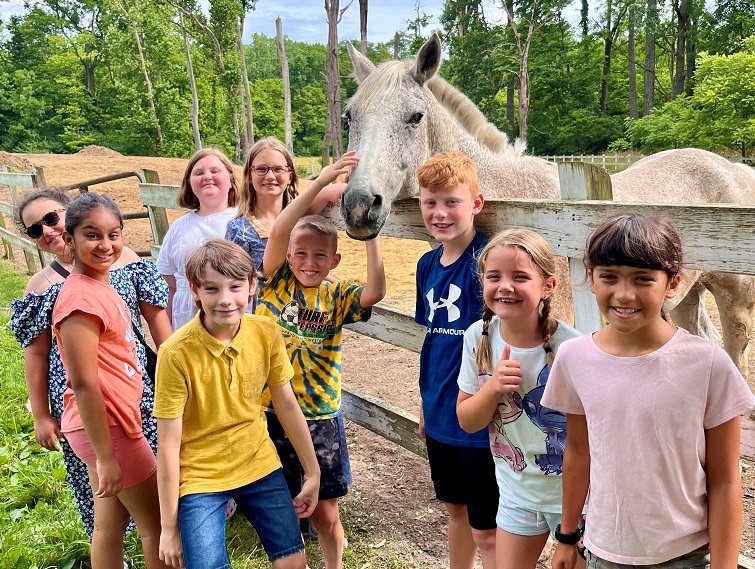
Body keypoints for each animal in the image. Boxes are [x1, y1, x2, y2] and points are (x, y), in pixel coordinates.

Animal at [342, 34, 755, 372]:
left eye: (416, 117)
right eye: (349, 116)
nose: (359, 205)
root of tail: (734, 167)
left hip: (735, 300)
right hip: (686, 296)